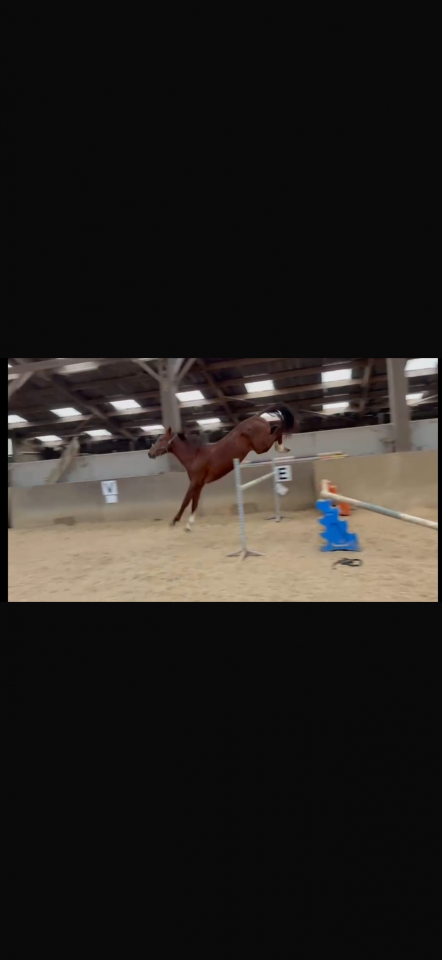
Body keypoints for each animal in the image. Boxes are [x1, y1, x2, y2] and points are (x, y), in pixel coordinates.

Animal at [148, 405, 296, 531]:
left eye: (160, 439)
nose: (150, 453)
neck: (195, 455)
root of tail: (256, 417)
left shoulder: (195, 482)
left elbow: (185, 501)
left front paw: (174, 521)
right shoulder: (199, 484)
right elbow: (194, 503)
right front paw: (189, 525)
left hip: (261, 447)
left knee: (278, 428)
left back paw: (281, 448)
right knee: (276, 428)